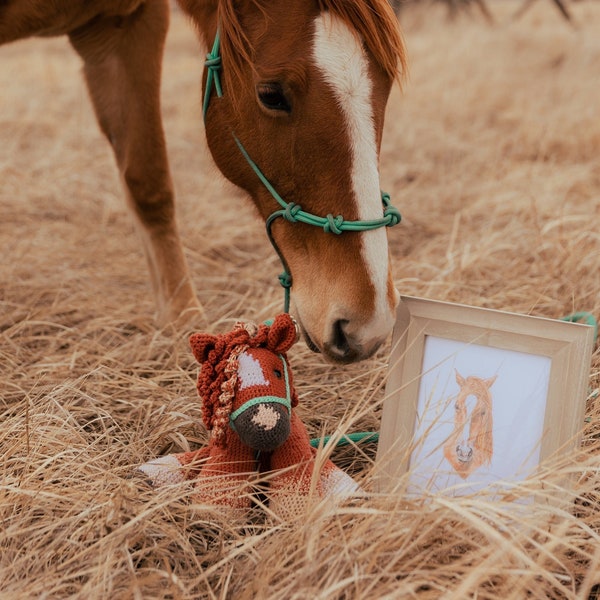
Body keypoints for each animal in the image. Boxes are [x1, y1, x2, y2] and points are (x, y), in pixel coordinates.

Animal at [1, 1, 408, 360]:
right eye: (271, 95)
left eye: (387, 80)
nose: (368, 323)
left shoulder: (127, 26)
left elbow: (149, 183)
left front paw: (180, 316)